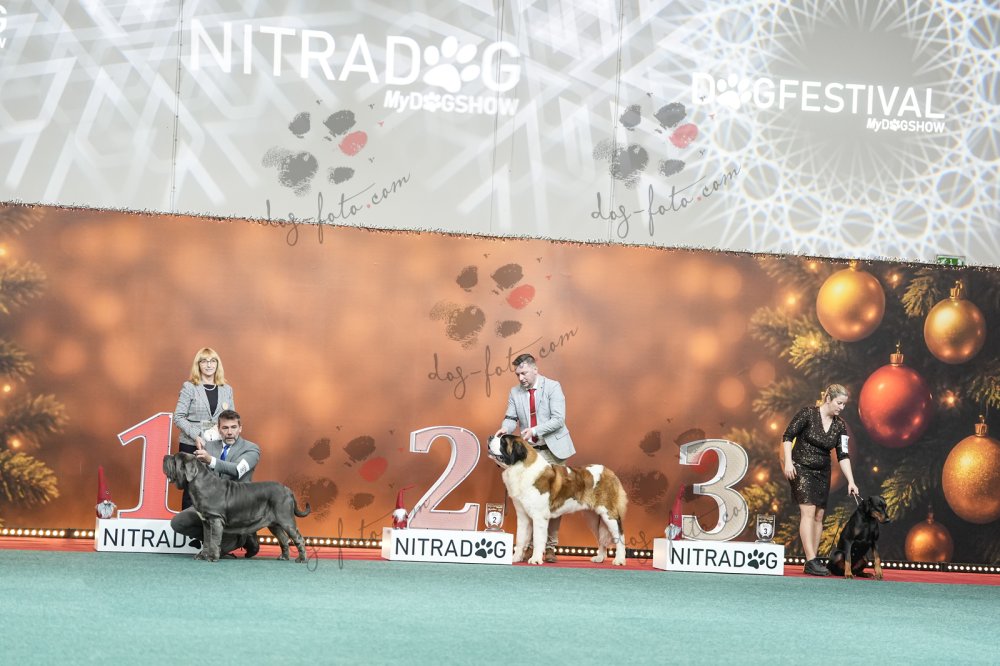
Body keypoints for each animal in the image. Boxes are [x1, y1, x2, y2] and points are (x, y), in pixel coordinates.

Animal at [163, 452, 311, 562]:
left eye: (174, 459)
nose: (165, 456)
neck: (199, 483)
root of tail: (288, 490)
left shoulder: (215, 519)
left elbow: (214, 539)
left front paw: (212, 557)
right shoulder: (206, 522)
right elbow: (207, 540)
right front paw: (202, 555)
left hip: (286, 520)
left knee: (299, 538)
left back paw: (301, 559)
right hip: (274, 524)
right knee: (284, 539)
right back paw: (283, 557)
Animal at [487, 433, 628, 566]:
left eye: (503, 441)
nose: (490, 437)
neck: (521, 468)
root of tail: (609, 472)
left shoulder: (539, 517)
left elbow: (538, 539)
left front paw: (535, 559)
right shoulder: (523, 516)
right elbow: (521, 538)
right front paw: (515, 558)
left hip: (609, 514)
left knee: (619, 535)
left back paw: (619, 560)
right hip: (593, 518)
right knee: (601, 536)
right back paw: (600, 557)